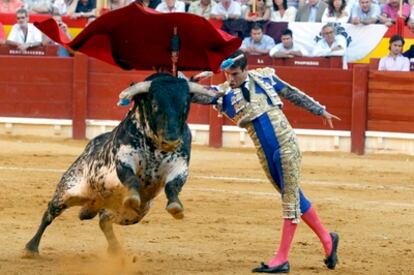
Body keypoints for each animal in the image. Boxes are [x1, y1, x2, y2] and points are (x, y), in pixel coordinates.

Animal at [23, 72, 213, 258]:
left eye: (185, 106)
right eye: (155, 105)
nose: (171, 141)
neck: (155, 147)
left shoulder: (179, 167)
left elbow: (173, 187)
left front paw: (175, 207)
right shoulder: (124, 160)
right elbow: (132, 179)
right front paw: (133, 197)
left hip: (132, 215)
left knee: (104, 220)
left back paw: (115, 249)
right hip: (67, 191)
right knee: (50, 213)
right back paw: (31, 247)